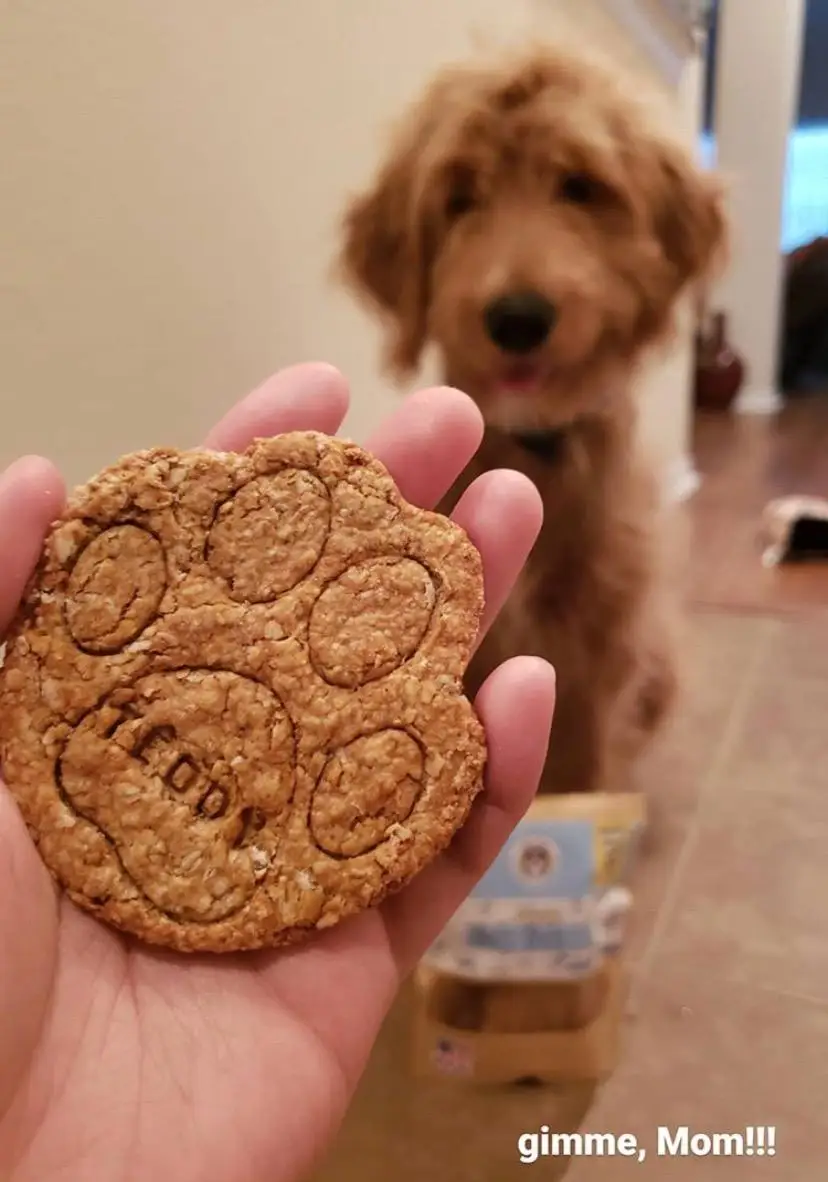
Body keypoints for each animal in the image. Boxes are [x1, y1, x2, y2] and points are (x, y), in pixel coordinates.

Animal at [337, 44, 727, 800]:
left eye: (580, 186)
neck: (538, 452)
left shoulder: (601, 662)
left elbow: (589, 770)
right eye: (460, 198)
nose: (517, 319)